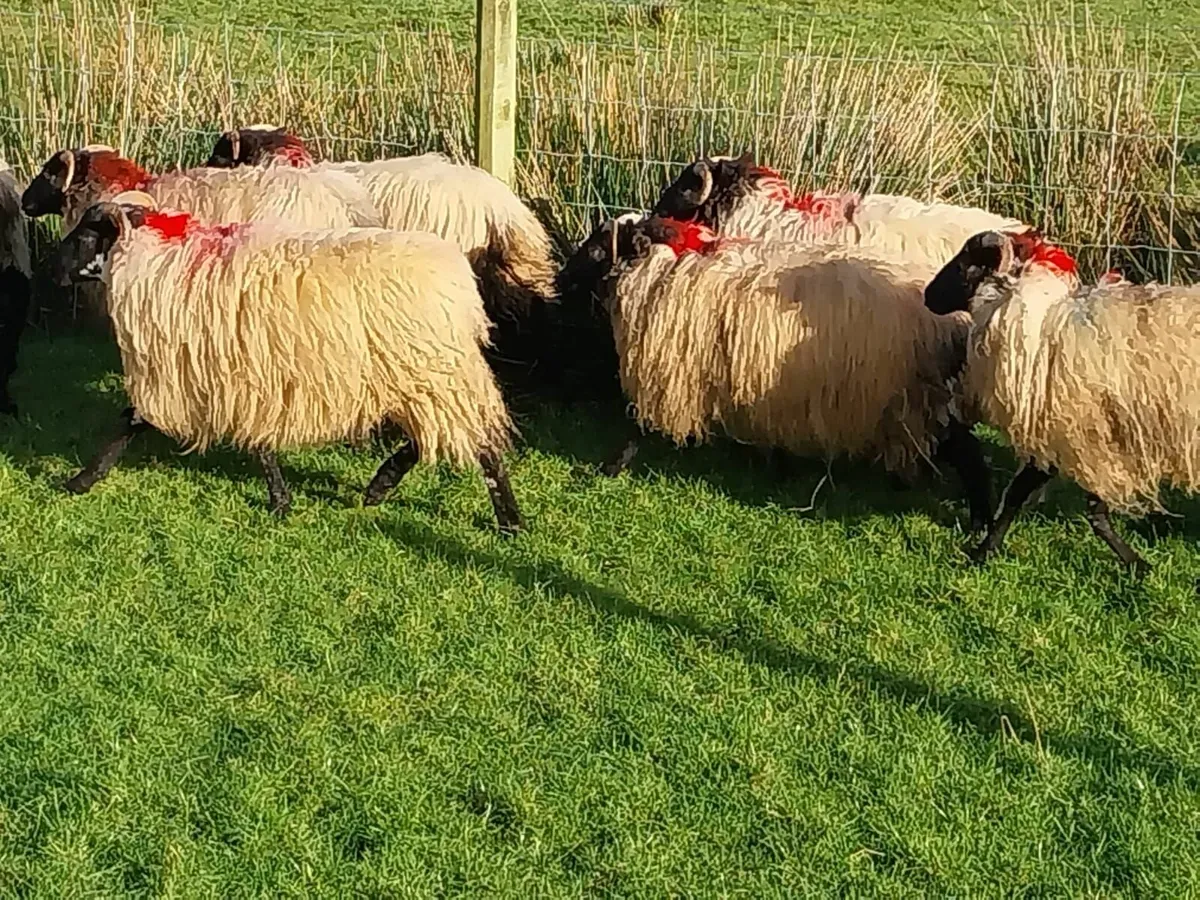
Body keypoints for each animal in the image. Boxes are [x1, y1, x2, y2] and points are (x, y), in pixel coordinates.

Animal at [47, 191, 522, 532]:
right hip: (426, 377)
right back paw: (382, 487)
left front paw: (80, 480)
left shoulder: (206, 373)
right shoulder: (243, 375)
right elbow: (258, 442)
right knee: (438, 438)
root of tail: (460, 279)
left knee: (477, 444)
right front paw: (281, 500)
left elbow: (130, 420)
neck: (162, 261)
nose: (52, 269)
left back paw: (507, 521)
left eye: (85, 235)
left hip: (434, 373)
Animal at [557, 213, 993, 528]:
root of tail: (956, 322)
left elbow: (638, 427)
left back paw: (978, 524)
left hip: (919, 394)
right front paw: (776, 469)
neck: (661, 272)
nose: (560, 278)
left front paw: (610, 467)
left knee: (970, 456)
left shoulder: (671, 372)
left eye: (598, 246)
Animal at [926, 229, 1200, 572]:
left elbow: (1030, 498)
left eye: (966, 261)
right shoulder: (1070, 437)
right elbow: (1035, 497)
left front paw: (982, 552)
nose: (927, 296)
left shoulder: (1077, 435)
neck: (1044, 326)